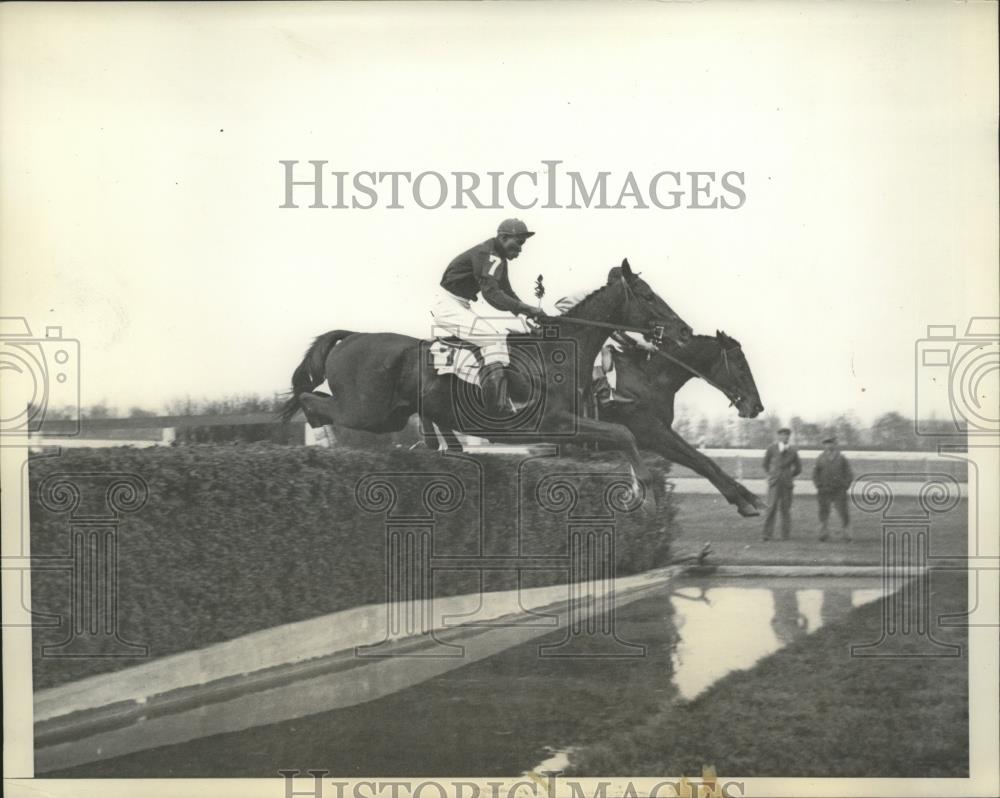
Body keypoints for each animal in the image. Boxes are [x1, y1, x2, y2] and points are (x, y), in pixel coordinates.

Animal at [278, 262, 692, 500]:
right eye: (648, 296)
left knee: (316, 401)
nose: (684, 330)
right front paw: (640, 490)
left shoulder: (569, 429)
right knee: (311, 401)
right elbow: (624, 433)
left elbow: (623, 435)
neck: (557, 354)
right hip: (368, 411)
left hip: (388, 414)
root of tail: (351, 337)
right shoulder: (555, 423)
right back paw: (324, 444)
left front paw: (639, 486)